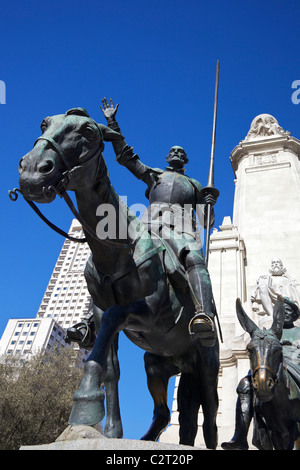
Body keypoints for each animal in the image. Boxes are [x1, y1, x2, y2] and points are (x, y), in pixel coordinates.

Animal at [14, 107, 218, 448]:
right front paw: (107, 429)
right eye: (45, 124)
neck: (118, 250)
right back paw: (148, 438)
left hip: (206, 363)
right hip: (157, 366)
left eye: (87, 131)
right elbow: (110, 368)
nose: (32, 170)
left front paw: (84, 401)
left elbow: (114, 316)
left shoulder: (152, 314)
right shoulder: (99, 311)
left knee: (212, 414)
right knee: (167, 413)